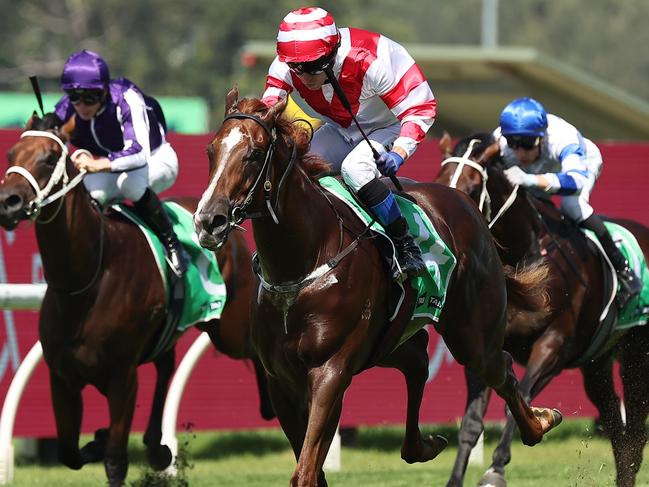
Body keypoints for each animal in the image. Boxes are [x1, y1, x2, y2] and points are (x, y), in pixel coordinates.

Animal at [0, 113, 274, 487]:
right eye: (12, 153)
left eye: (49, 157)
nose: (8, 202)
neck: (88, 278)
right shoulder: (62, 377)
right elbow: (69, 453)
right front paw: (98, 440)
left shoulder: (122, 378)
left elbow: (116, 459)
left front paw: (107, 445)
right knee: (166, 364)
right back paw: (157, 447)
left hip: (228, 330)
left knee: (252, 346)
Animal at [192, 89, 560, 486]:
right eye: (211, 150)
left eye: (255, 152)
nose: (208, 221)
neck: (303, 264)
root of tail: (466, 205)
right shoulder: (282, 380)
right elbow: (311, 466)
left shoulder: (331, 372)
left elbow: (306, 469)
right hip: (386, 339)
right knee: (418, 361)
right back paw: (425, 444)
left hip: (472, 333)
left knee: (499, 366)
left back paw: (539, 422)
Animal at [436, 133, 648, 487]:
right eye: (440, 181)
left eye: (471, 186)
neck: (527, 254)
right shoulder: (485, 348)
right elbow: (472, 421)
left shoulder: (553, 347)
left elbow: (519, 399)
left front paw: (495, 469)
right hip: (597, 364)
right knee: (619, 432)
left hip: (636, 353)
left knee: (634, 431)